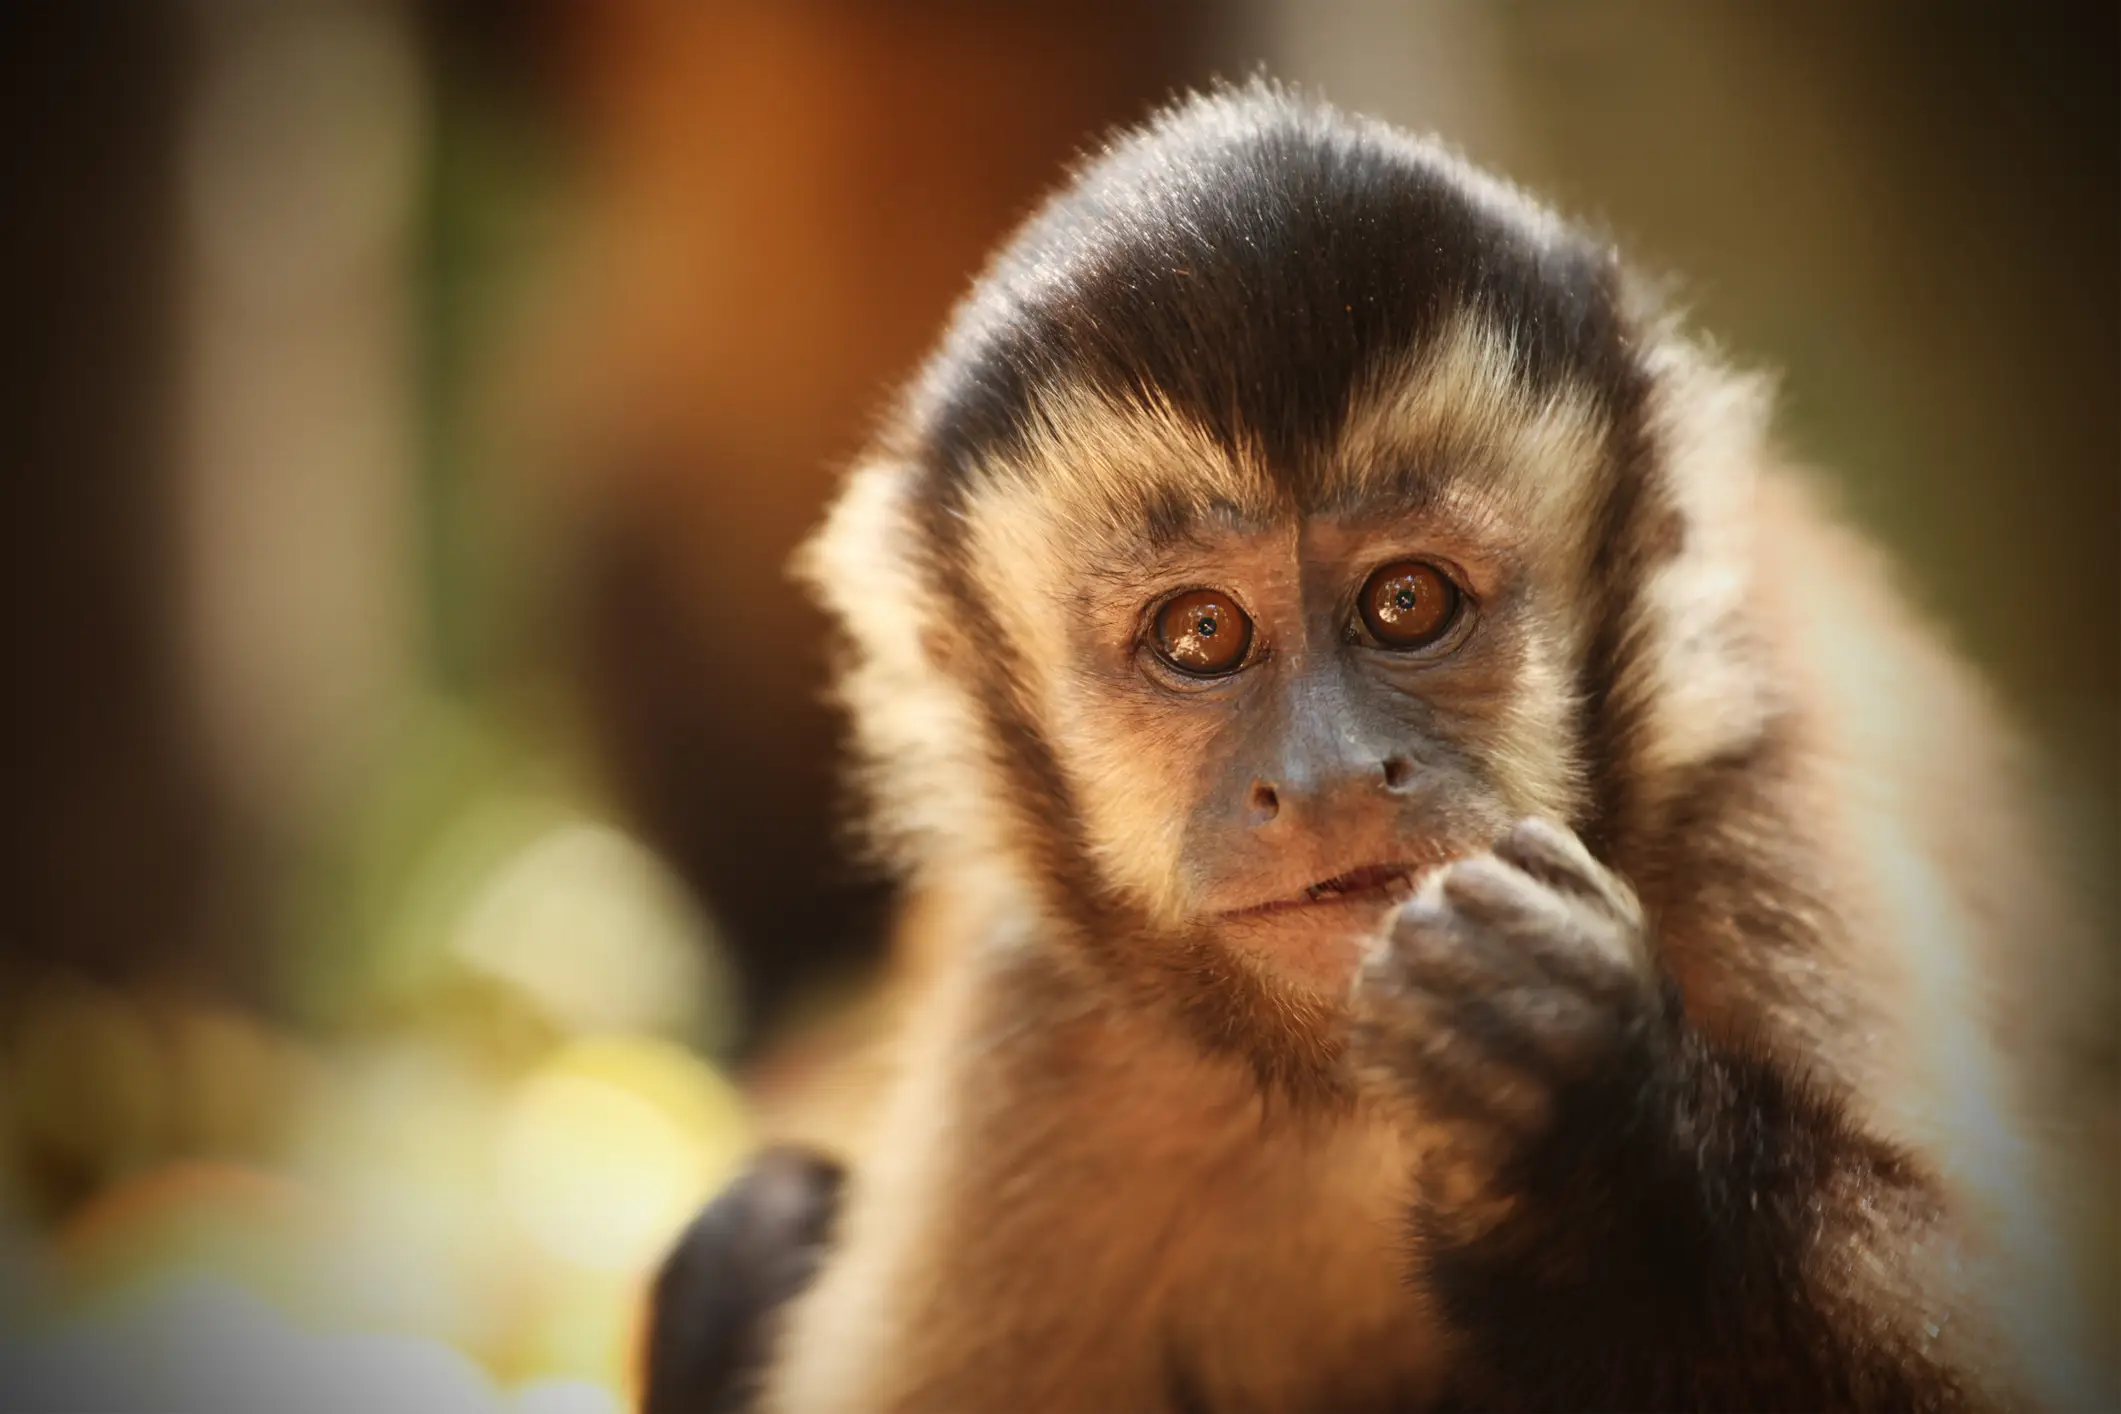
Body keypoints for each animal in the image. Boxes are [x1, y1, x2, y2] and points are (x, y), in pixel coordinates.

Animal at [682, 81, 2110, 1412]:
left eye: (1407, 602)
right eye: (1200, 633)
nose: (1326, 779)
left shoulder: (1762, 810)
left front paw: (1603, 1128)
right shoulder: (1033, 1042)